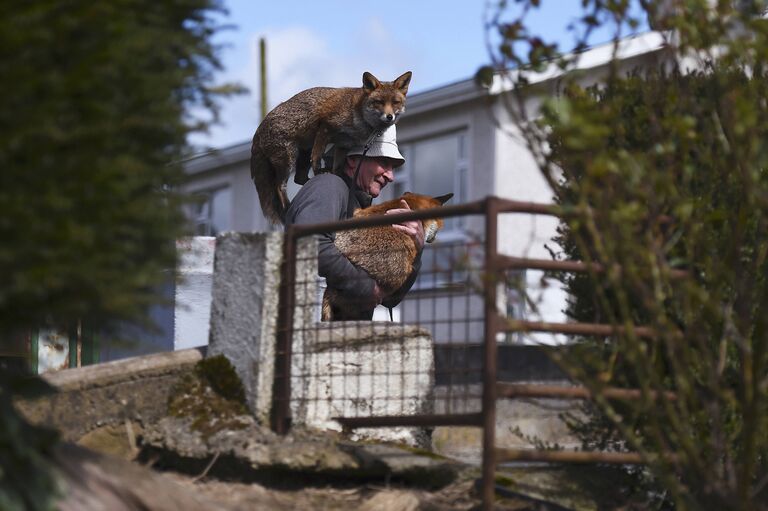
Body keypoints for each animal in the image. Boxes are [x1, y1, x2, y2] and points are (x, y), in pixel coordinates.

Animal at [249, 71, 412, 224]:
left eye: (395, 102)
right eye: (379, 102)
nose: (389, 117)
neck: (358, 118)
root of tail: (259, 129)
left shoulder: (344, 144)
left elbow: (338, 166)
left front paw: (340, 177)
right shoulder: (325, 128)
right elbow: (318, 157)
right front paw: (321, 172)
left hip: (303, 154)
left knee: (299, 179)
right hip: (288, 159)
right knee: (279, 186)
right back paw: (288, 205)